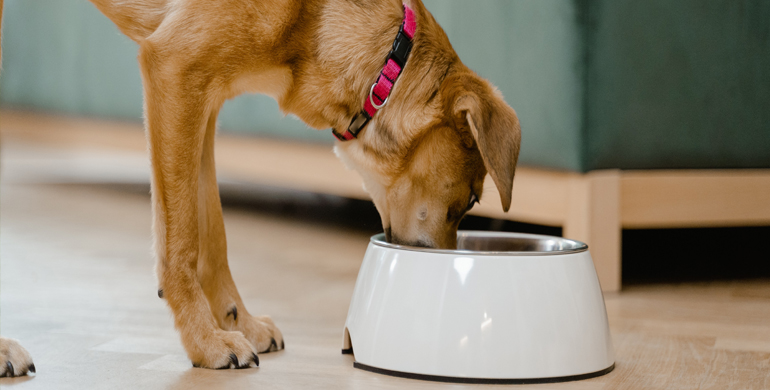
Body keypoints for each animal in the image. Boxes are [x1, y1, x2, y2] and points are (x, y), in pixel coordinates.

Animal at [0, 0, 520, 372]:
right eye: (471, 199)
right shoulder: (175, 67)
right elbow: (182, 239)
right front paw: (205, 342)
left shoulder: (203, 101)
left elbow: (212, 234)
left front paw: (238, 323)